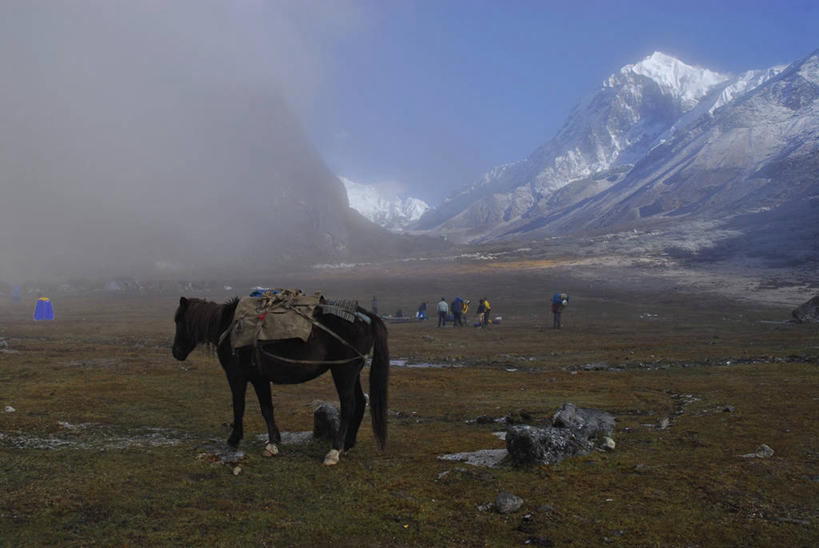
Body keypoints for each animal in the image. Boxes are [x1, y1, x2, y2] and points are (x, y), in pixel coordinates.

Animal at [171, 296, 389, 465]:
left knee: (349, 405)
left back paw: (334, 452)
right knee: (360, 401)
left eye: (179, 321)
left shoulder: (238, 377)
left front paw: (235, 439)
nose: (176, 353)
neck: (228, 328)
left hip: (343, 371)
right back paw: (348, 445)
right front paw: (274, 441)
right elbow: (267, 407)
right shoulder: (259, 379)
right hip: (353, 371)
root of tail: (365, 317)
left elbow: (241, 406)